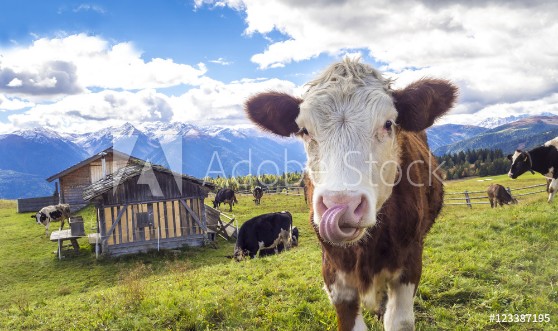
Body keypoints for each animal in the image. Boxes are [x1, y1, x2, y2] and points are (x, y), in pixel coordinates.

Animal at [247, 59, 458, 331]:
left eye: (388, 124)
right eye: (304, 130)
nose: (342, 205)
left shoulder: (410, 262)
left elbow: (398, 320)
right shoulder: (333, 273)